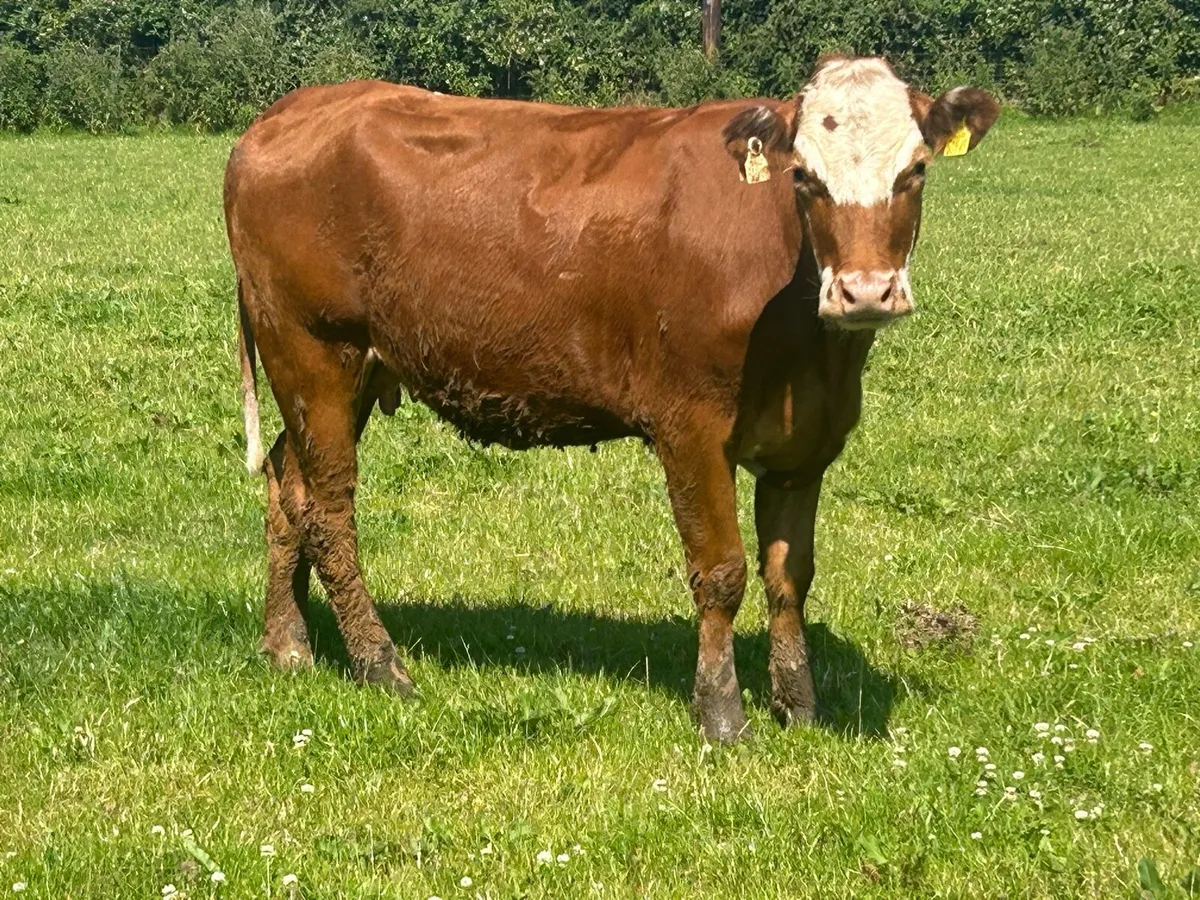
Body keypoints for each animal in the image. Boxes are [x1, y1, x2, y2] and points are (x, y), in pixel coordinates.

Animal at [225, 56, 998, 743]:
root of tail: (284, 112)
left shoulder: (805, 444)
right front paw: (722, 714)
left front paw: (799, 706)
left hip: (339, 371)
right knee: (328, 510)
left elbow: (789, 577)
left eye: (915, 170)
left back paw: (287, 644)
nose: (865, 291)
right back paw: (380, 663)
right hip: (314, 349)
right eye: (804, 177)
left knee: (287, 488)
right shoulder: (690, 427)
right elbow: (722, 573)